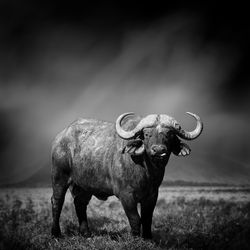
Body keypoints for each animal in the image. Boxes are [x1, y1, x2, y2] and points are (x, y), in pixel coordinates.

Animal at [51, 112, 203, 238]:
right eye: (147, 134)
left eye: (169, 134)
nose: (159, 150)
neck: (146, 172)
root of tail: (60, 138)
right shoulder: (126, 195)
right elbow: (135, 219)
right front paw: (135, 238)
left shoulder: (152, 195)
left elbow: (147, 218)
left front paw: (147, 238)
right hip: (59, 177)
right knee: (57, 201)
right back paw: (56, 233)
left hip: (84, 186)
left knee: (80, 203)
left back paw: (86, 233)